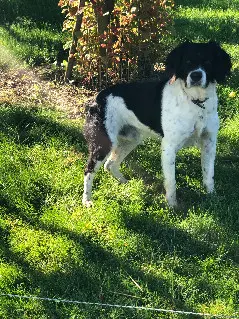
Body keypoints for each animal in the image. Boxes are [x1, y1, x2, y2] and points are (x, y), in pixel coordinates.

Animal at [82, 40, 232, 208]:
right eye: (187, 62)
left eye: (208, 62)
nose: (196, 75)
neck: (195, 102)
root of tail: (97, 99)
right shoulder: (169, 147)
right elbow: (171, 181)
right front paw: (172, 206)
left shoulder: (209, 142)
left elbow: (209, 174)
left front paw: (212, 197)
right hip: (104, 144)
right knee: (88, 170)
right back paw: (86, 200)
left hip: (131, 139)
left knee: (110, 164)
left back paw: (125, 183)